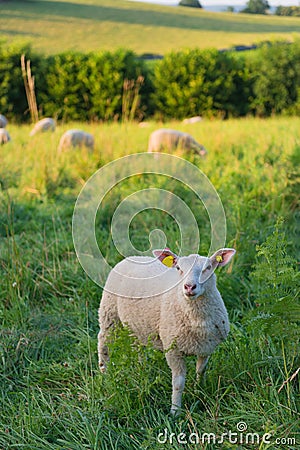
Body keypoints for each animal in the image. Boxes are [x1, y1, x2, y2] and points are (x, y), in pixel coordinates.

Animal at [97, 246, 236, 414]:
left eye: (208, 268)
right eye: (178, 268)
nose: (189, 287)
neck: (196, 320)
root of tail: (132, 257)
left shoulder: (206, 348)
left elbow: (200, 371)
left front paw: (199, 392)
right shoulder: (173, 350)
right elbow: (178, 383)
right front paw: (175, 411)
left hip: (137, 326)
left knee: (137, 347)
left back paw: (141, 370)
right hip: (109, 311)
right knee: (103, 342)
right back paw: (104, 373)